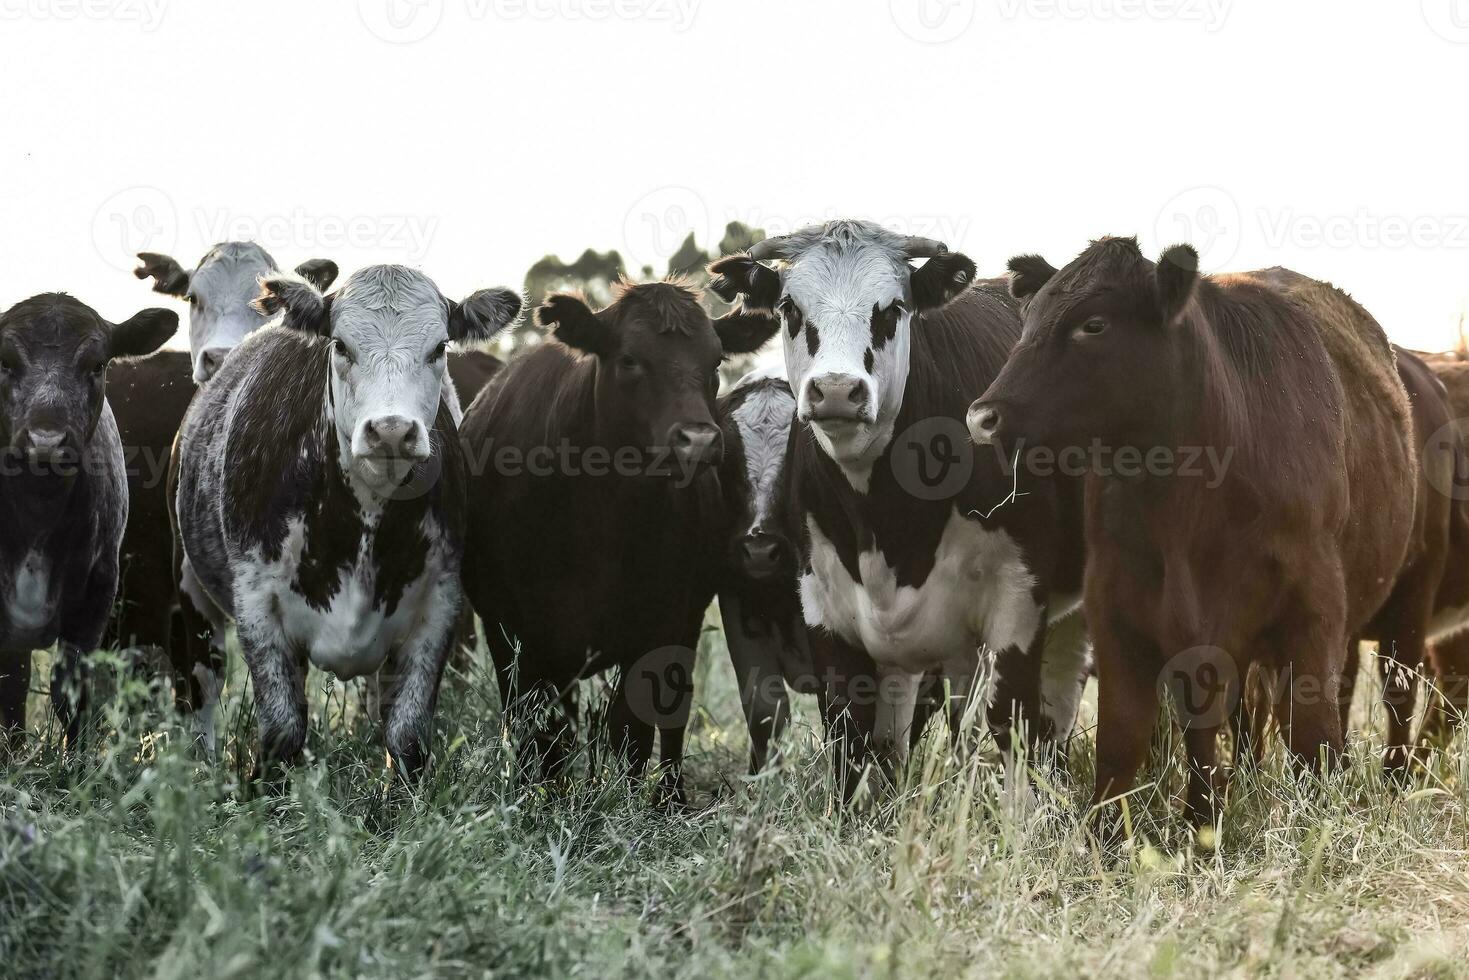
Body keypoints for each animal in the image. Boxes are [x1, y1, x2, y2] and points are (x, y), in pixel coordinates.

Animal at [170, 264, 522, 775]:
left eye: (439, 348)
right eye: (340, 345)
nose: (391, 431)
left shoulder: (438, 605)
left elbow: (407, 734)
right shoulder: (257, 604)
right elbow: (281, 730)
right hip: (192, 589)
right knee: (203, 682)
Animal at [464, 276, 775, 805]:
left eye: (715, 361)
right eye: (630, 358)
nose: (698, 440)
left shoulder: (662, 622)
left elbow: (634, 726)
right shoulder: (510, 628)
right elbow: (535, 725)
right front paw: (537, 798)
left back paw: (671, 797)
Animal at [969, 239, 1416, 834]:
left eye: (1093, 324)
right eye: (1031, 319)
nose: (982, 416)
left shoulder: (1314, 615)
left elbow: (1313, 739)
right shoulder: (1119, 612)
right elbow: (1123, 741)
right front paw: (1116, 835)